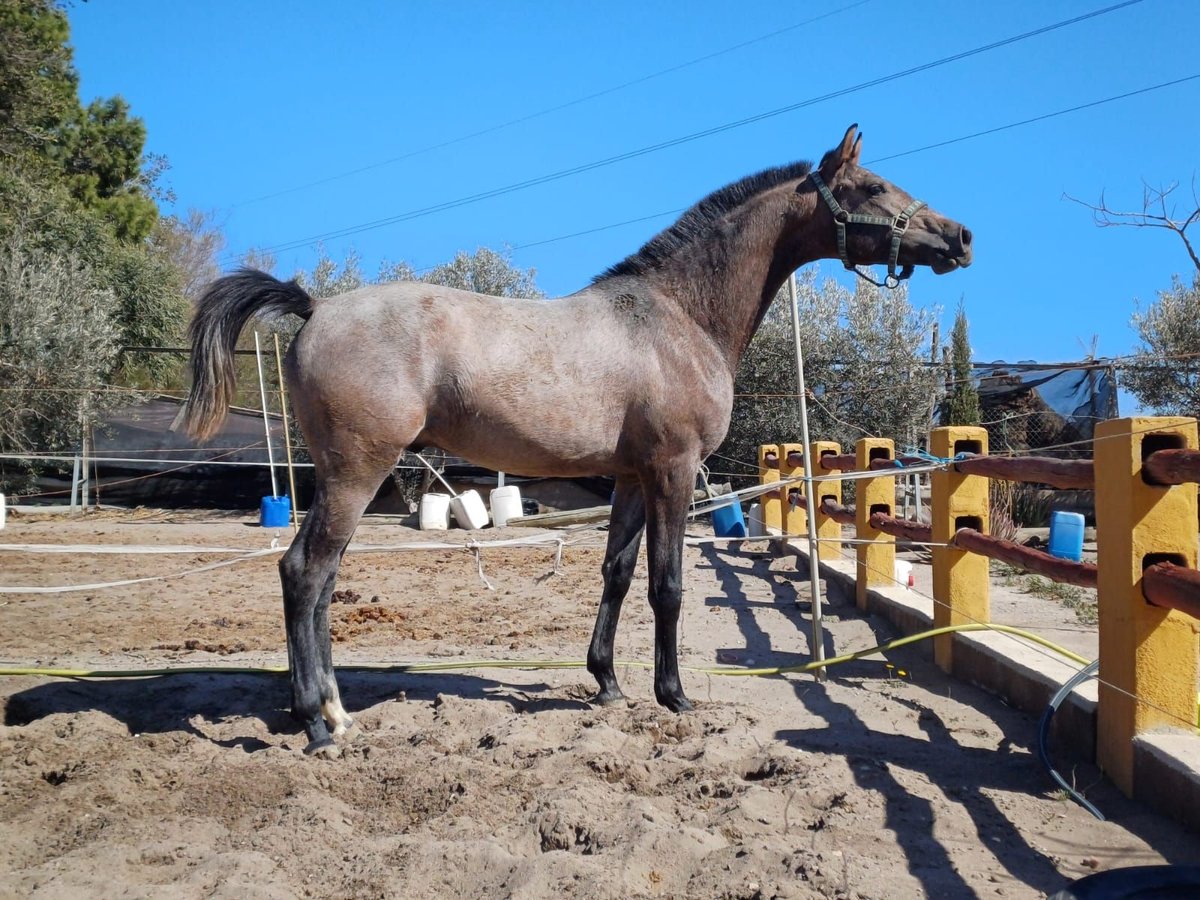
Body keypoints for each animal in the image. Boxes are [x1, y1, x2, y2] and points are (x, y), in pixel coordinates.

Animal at [177, 125, 969, 753]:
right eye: (873, 185)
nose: (960, 236)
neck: (678, 316)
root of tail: (314, 309)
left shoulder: (630, 477)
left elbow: (616, 575)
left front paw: (608, 684)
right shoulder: (672, 471)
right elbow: (667, 585)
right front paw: (674, 695)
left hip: (347, 476)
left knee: (322, 582)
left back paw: (336, 713)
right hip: (355, 471)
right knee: (304, 574)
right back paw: (317, 724)